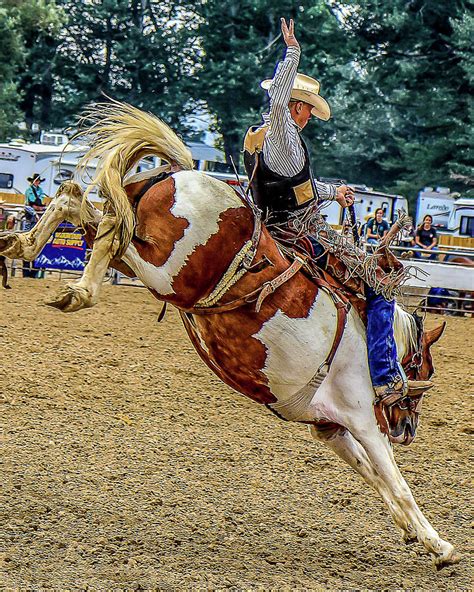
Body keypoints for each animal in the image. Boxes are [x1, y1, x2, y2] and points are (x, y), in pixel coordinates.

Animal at [0, 102, 460, 568]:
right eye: (423, 368)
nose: (407, 428)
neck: (370, 337)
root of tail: (180, 173)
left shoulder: (329, 428)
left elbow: (374, 476)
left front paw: (410, 532)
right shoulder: (364, 420)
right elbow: (396, 479)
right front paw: (439, 545)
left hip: (150, 258)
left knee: (78, 201)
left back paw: (21, 242)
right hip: (169, 274)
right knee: (113, 231)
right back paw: (77, 290)